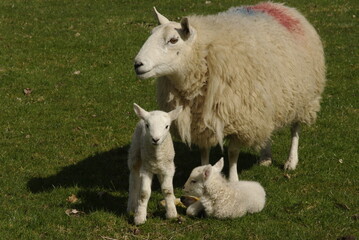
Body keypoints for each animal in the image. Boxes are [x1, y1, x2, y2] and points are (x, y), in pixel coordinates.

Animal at [134, 1, 326, 181]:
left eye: (173, 40)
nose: (137, 64)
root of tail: (282, 7)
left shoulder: (240, 118)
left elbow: (233, 153)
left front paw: (233, 179)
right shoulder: (200, 121)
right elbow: (204, 151)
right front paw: (202, 171)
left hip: (303, 98)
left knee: (295, 130)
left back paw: (291, 161)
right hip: (269, 101)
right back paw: (265, 156)